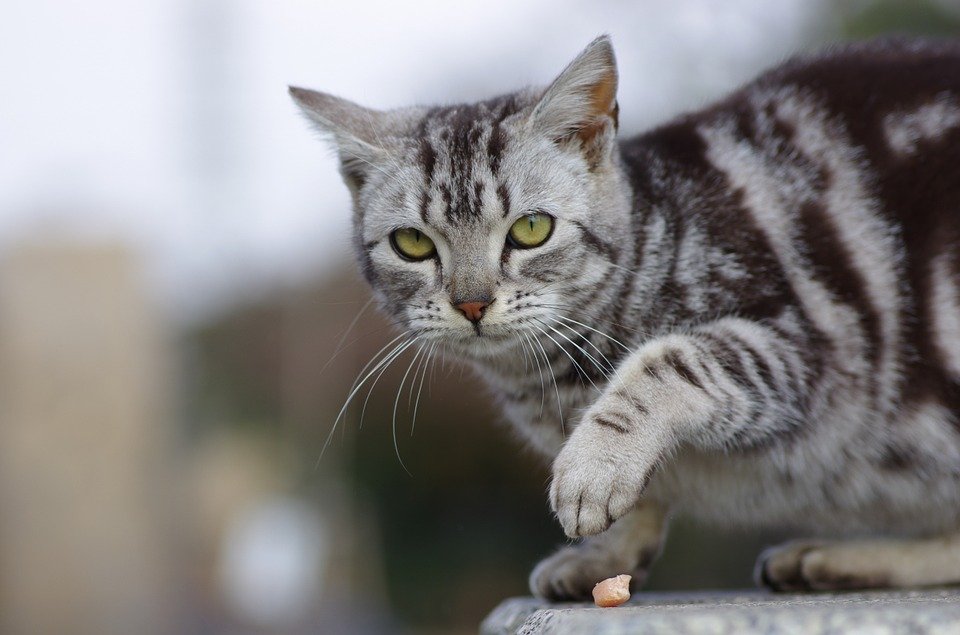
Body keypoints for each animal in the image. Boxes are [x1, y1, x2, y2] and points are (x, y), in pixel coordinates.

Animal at [290, 36, 960, 600]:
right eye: (412, 245)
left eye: (531, 230)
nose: (472, 303)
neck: (552, 382)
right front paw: (609, 549)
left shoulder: (809, 346)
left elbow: (669, 360)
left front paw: (594, 468)